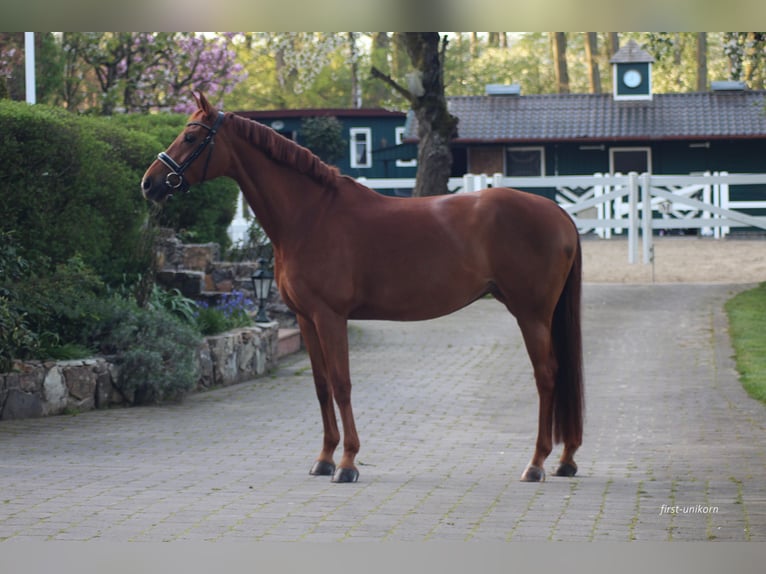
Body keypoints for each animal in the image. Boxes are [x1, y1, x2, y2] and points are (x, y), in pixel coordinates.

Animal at [141, 94, 584, 486]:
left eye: (191, 137)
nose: (149, 184)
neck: (310, 215)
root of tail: (558, 211)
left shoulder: (329, 316)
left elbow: (342, 383)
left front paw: (348, 462)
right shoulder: (306, 318)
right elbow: (322, 386)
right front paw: (324, 458)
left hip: (531, 314)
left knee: (547, 375)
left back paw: (536, 464)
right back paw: (565, 459)